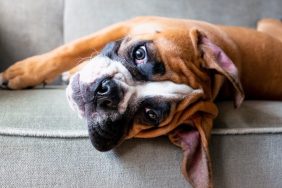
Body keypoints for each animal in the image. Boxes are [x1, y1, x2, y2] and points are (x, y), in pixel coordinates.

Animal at [0, 16, 282, 187]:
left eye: (150, 114)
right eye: (139, 53)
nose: (108, 91)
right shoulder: (124, 25)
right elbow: (68, 50)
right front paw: (23, 72)